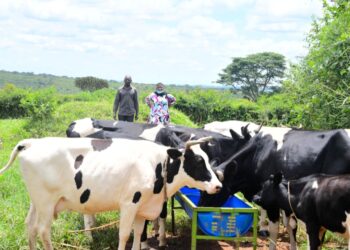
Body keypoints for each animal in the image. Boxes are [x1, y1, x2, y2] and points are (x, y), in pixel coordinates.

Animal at [0, 137, 221, 250]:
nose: (218, 185)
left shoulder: (142, 207)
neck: (158, 163)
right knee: (43, 230)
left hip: (36, 201)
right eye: (198, 161)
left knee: (30, 226)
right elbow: (124, 235)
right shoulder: (130, 203)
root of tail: (31, 142)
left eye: (207, 158)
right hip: (46, 202)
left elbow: (138, 233)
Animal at [201, 129, 350, 250]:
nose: (200, 208)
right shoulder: (287, 201)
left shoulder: (272, 200)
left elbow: (274, 229)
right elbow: (291, 227)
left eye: (216, 189)